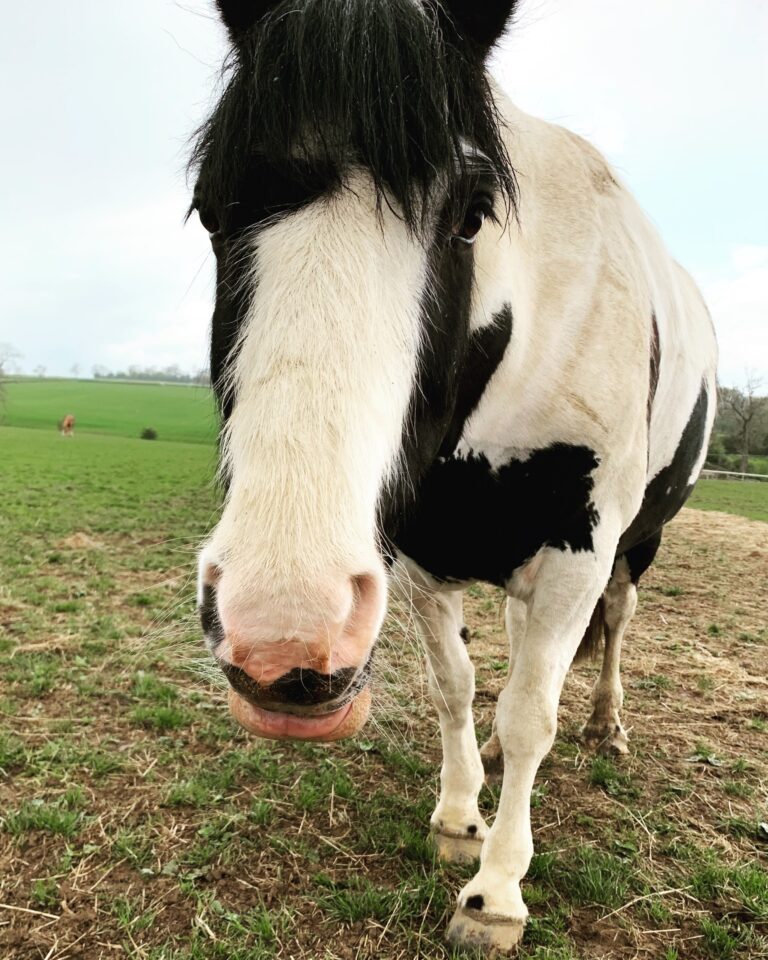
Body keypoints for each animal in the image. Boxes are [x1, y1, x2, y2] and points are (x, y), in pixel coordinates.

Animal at [189, 0, 717, 951]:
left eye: (471, 215)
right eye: (211, 211)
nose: (284, 637)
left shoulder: (579, 552)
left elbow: (532, 711)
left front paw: (496, 891)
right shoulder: (415, 555)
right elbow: (457, 687)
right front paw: (459, 817)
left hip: (635, 547)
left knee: (616, 626)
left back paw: (607, 723)